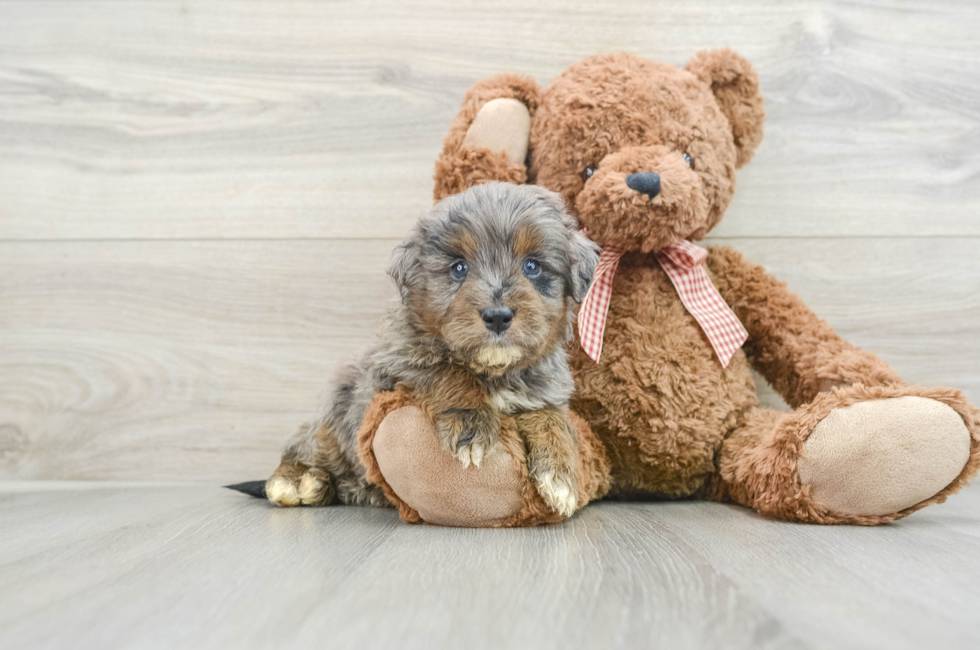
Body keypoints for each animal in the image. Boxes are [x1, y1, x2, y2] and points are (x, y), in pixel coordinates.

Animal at [262, 182, 596, 516]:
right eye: (459, 268)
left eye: (533, 266)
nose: (498, 316)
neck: (493, 370)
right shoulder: (397, 362)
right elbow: (448, 372)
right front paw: (472, 421)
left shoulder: (545, 392)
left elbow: (552, 418)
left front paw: (560, 474)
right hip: (335, 417)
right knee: (304, 445)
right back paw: (298, 481)